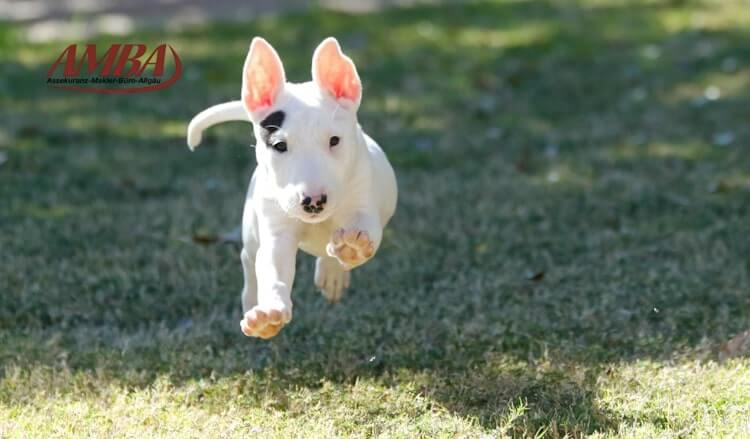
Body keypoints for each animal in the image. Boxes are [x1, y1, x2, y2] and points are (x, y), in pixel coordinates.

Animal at [187, 37, 400, 340]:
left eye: (335, 140)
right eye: (279, 145)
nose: (313, 201)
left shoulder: (363, 202)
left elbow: (364, 227)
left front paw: (352, 246)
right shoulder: (277, 231)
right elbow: (273, 267)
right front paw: (268, 315)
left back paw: (334, 271)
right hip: (252, 227)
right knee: (249, 259)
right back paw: (252, 301)